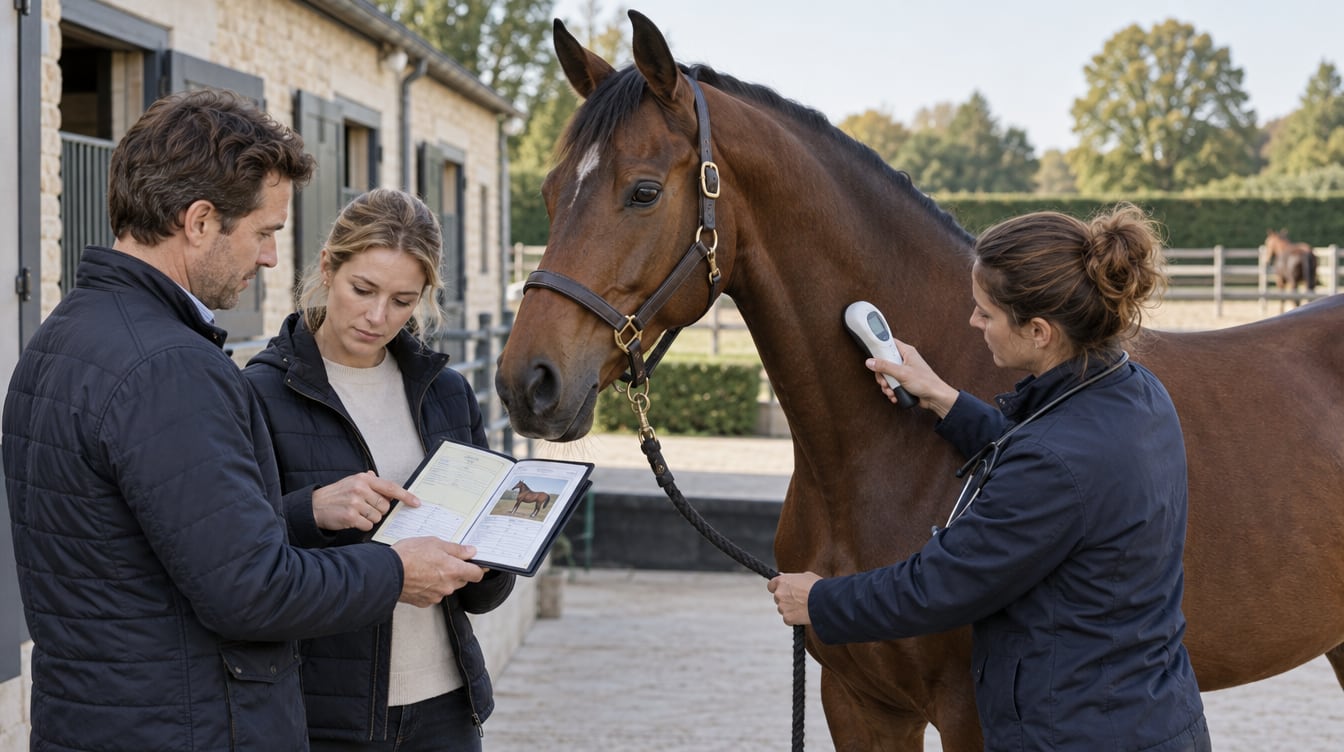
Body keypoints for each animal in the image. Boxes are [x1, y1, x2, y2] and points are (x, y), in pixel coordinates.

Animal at [495, 12, 1344, 750]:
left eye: (642, 191)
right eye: (547, 190)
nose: (526, 383)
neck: (886, 457)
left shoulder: (971, 714)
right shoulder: (858, 700)